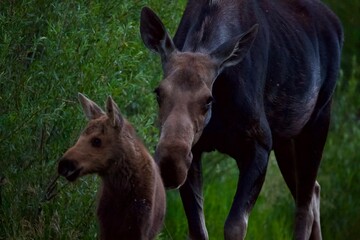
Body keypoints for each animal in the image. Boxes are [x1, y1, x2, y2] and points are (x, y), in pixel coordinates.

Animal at [139, 0, 342, 239]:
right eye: (158, 92)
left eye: (208, 99)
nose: (172, 164)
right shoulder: (195, 150)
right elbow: (198, 229)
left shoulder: (260, 143)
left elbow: (235, 226)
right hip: (286, 137)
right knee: (313, 192)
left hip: (319, 119)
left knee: (305, 205)